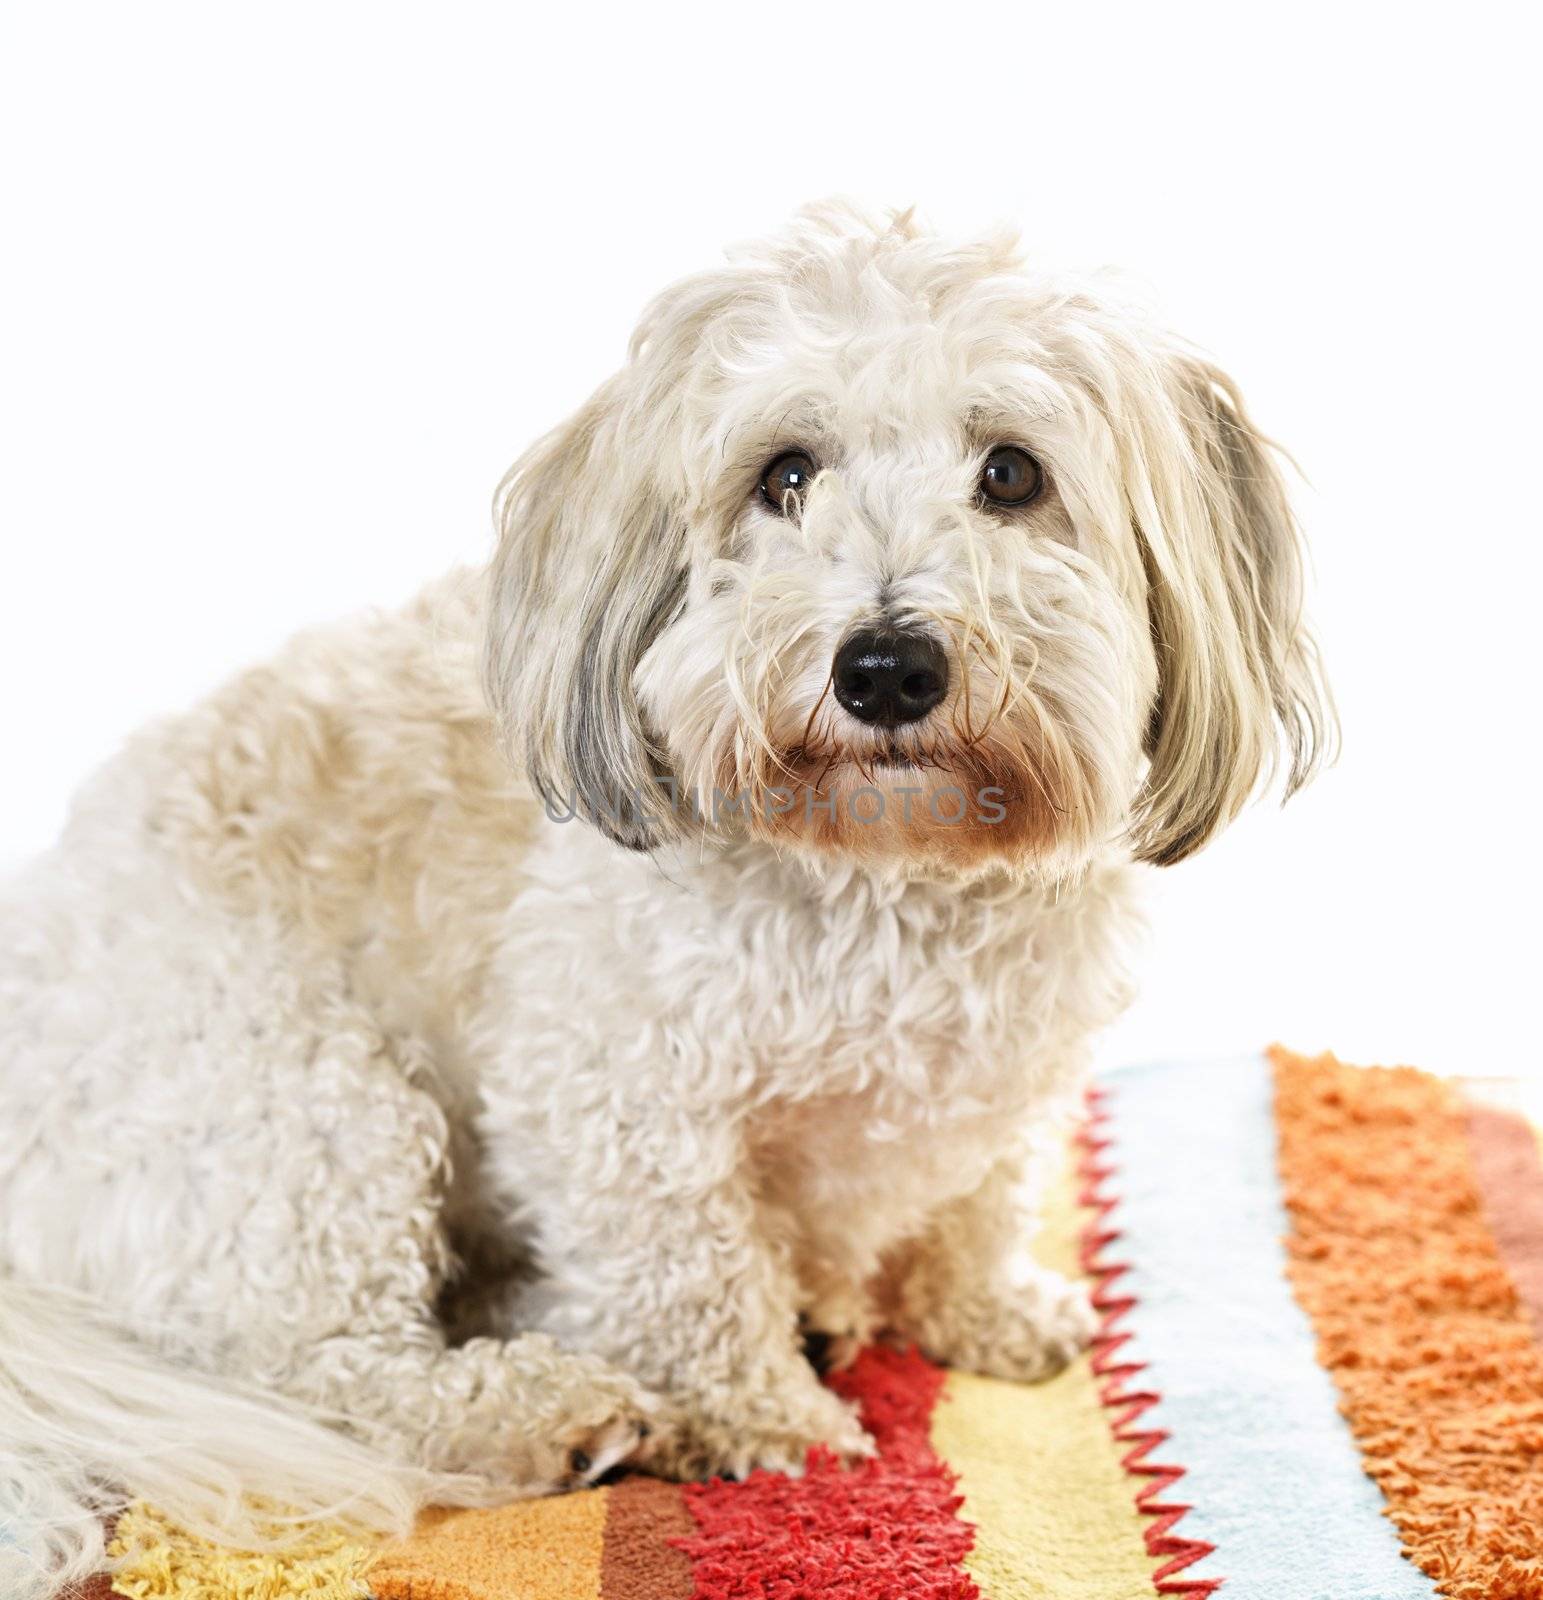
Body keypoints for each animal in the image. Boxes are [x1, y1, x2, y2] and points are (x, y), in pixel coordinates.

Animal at [0, 203, 1331, 1600]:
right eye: (785, 474)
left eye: (1013, 474)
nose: (886, 665)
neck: (890, 880)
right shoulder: (608, 1098)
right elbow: (694, 1276)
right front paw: (773, 1428)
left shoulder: (1008, 1077)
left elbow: (977, 1197)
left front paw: (982, 1309)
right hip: (303, 1109)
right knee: (312, 1370)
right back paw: (544, 1409)